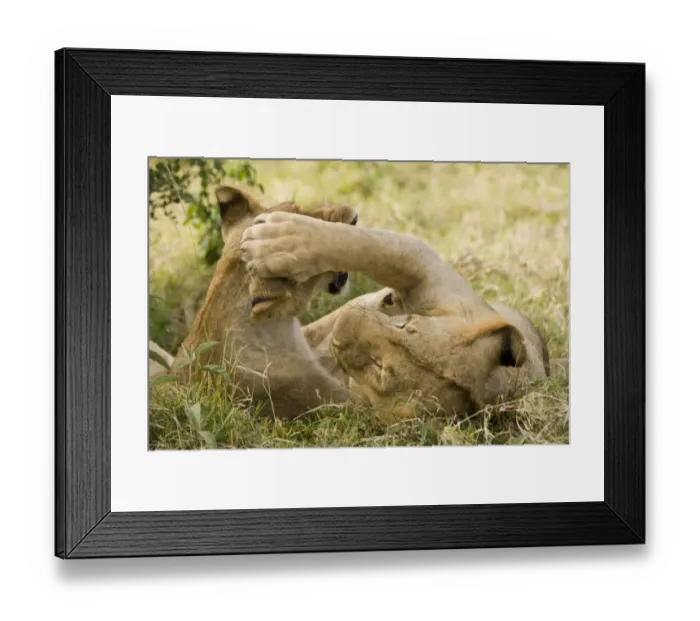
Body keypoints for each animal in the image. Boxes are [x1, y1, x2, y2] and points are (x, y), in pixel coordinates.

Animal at [241, 210, 550, 421]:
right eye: (405, 325)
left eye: (380, 370)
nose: (345, 324)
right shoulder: (438, 280)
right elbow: (375, 247)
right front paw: (275, 240)